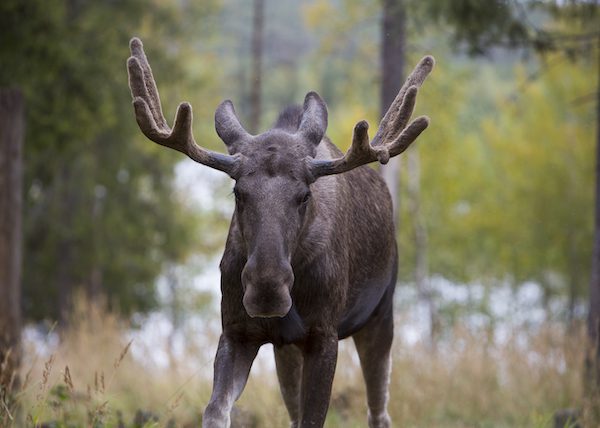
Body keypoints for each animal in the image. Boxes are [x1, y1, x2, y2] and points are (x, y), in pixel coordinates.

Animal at [126, 37, 434, 428]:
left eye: (304, 195)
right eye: (238, 192)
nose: (267, 289)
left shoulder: (324, 335)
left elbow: (314, 418)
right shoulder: (237, 331)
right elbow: (215, 410)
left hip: (381, 314)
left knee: (379, 411)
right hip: (287, 350)